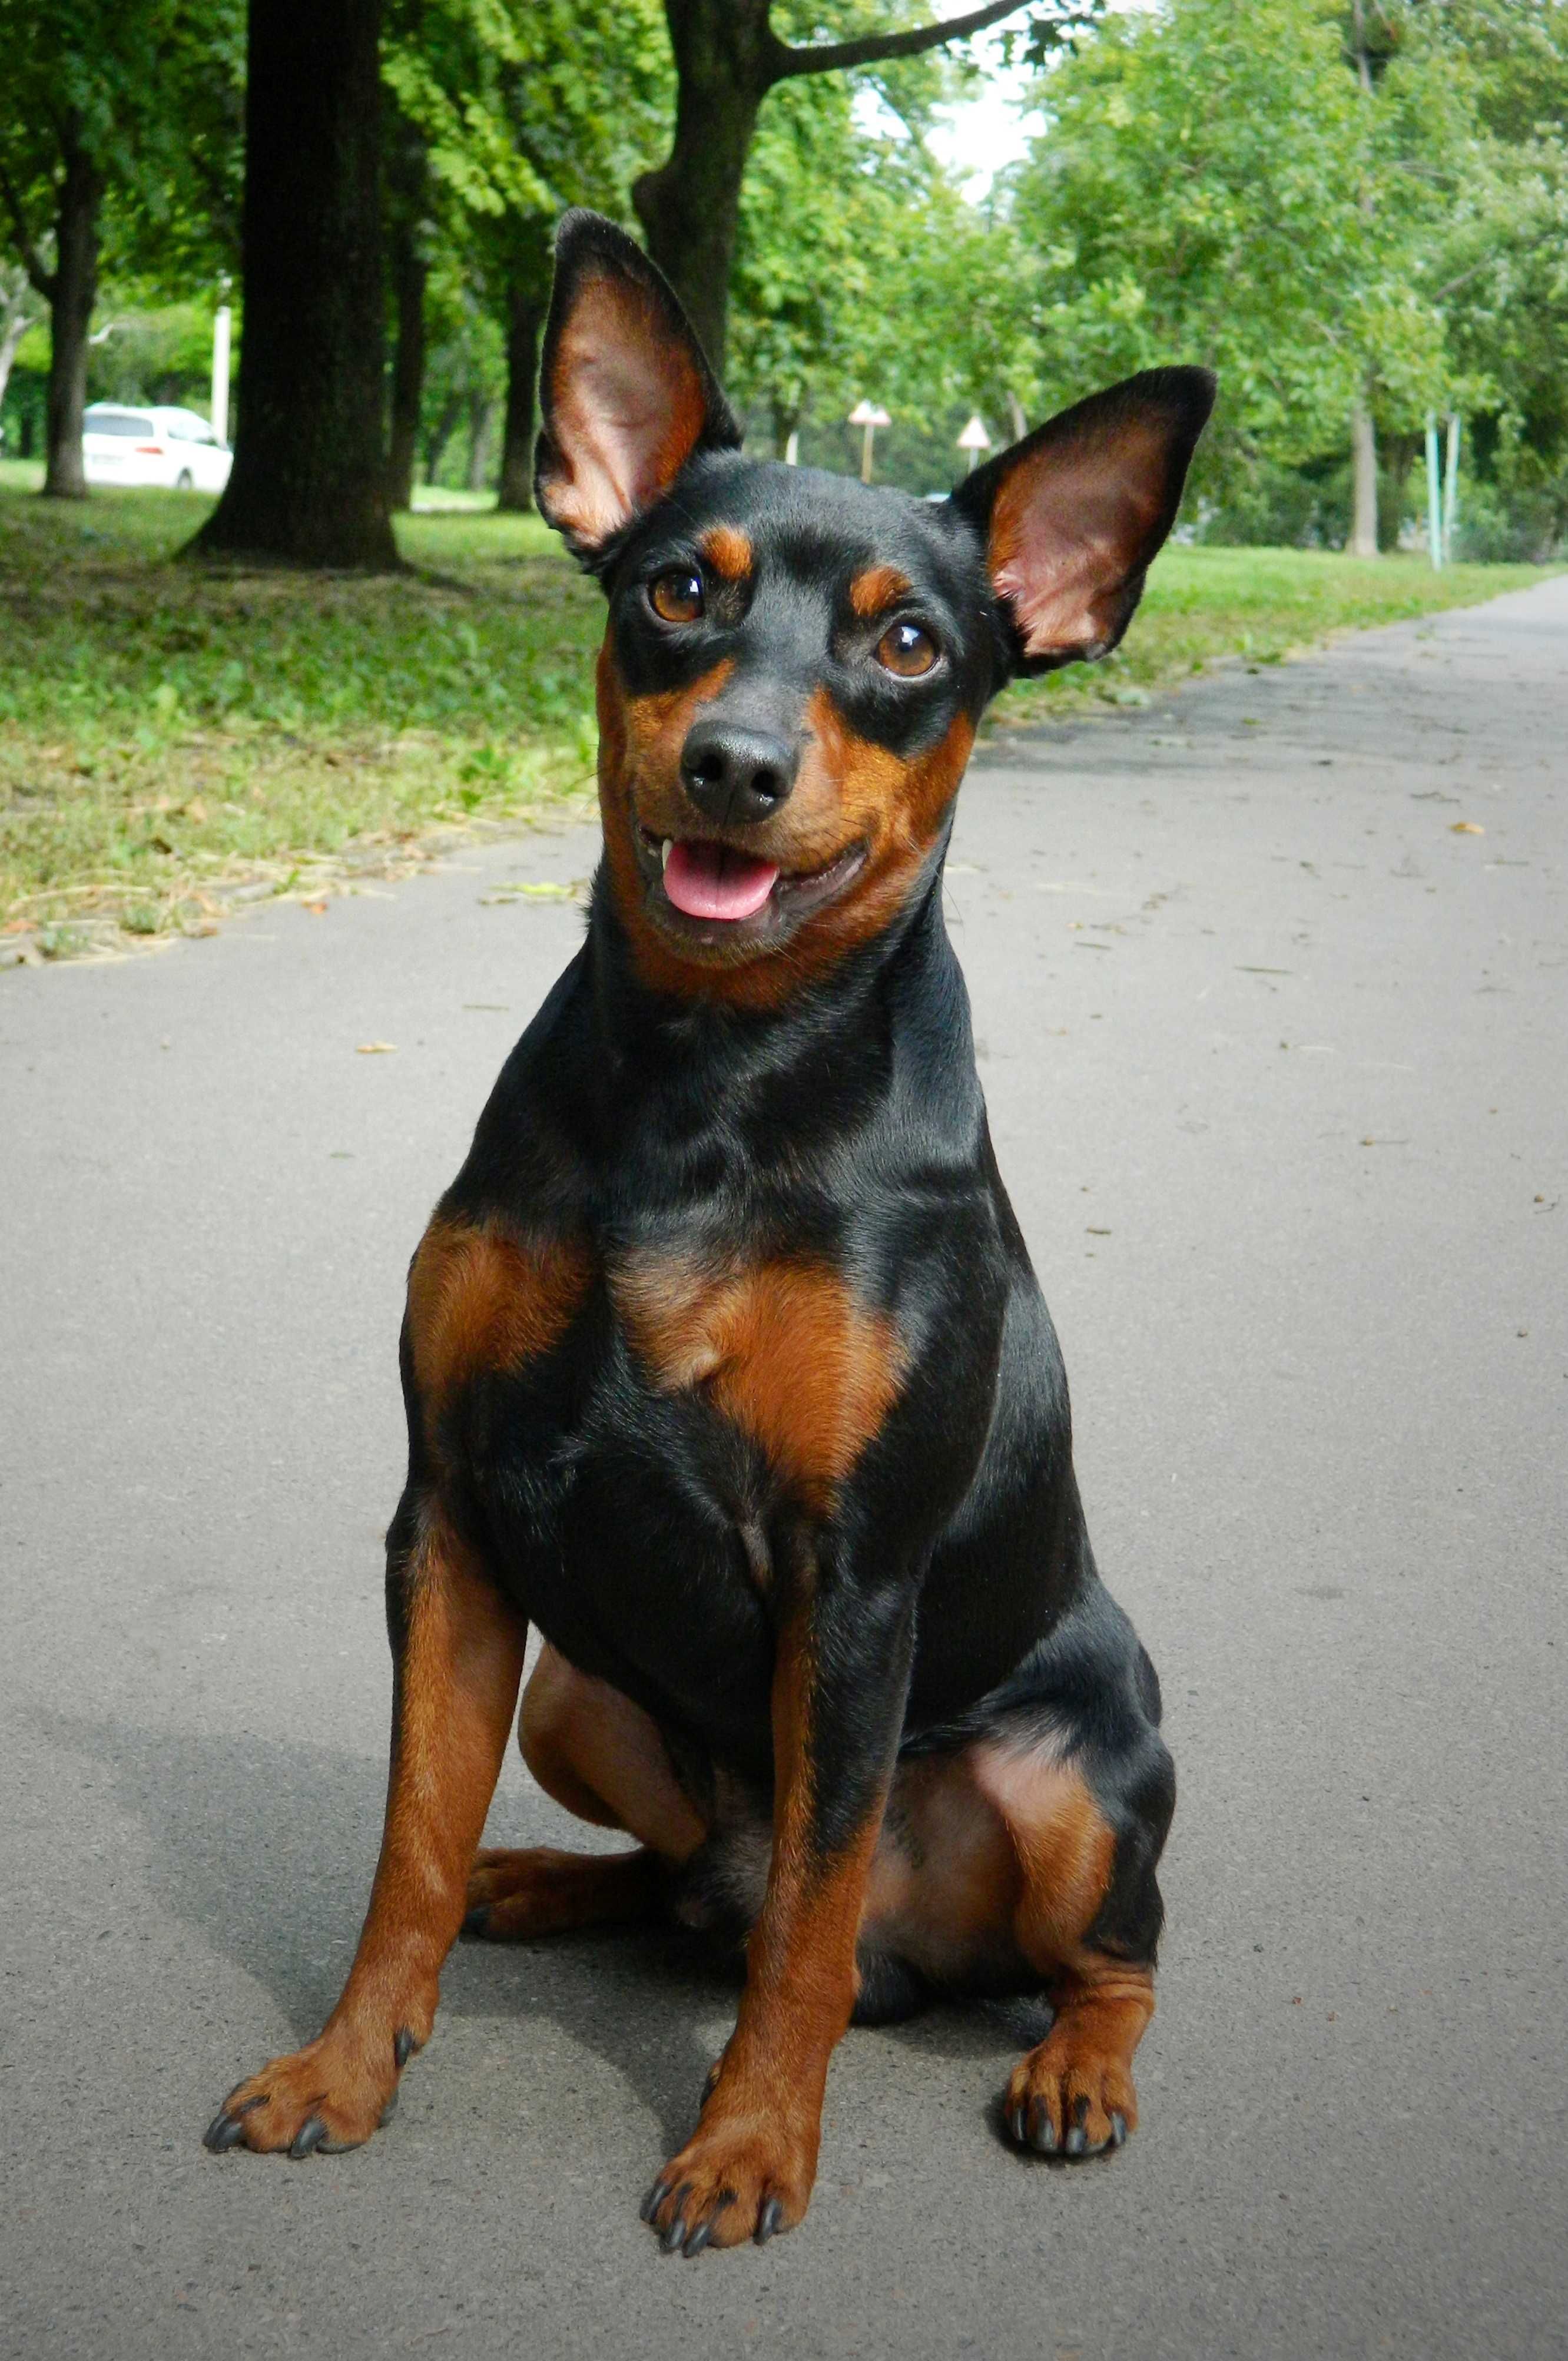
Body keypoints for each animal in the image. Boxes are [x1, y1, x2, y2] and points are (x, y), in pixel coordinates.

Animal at [205, 207, 1209, 2247]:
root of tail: (939, 1965)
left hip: (1081, 1771)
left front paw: (748, 2142)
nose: (736, 764)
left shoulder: (852, 1578)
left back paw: (1068, 2070)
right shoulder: (450, 1519)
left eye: (906, 640)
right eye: (677, 588)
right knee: (684, 1892)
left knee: (1071, 1951)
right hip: (578, 1692)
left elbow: (800, 1939)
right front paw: (348, 2064)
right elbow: (403, 1845)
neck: (704, 1079)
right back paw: (535, 1883)